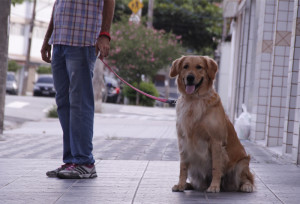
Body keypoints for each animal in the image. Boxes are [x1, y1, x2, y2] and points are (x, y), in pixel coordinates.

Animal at [170, 55, 254, 193]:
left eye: (199, 67)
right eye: (185, 66)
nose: (190, 77)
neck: (194, 100)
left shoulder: (216, 141)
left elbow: (216, 167)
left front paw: (214, 186)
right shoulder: (183, 141)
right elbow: (183, 167)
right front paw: (180, 184)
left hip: (242, 163)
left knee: (247, 178)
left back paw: (246, 186)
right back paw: (188, 185)